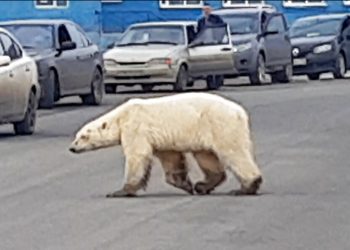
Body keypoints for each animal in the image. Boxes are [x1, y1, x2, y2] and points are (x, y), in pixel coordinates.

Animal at [69, 92, 262, 197]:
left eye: (83, 137)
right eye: (76, 136)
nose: (72, 147)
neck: (121, 116)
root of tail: (240, 112)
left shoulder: (135, 127)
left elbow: (137, 155)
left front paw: (120, 191)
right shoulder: (162, 139)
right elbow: (171, 158)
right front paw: (186, 185)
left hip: (220, 124)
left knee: (233, 152)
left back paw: (246, 187)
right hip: (205, 131)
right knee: (206, 156)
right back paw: (202, 186)